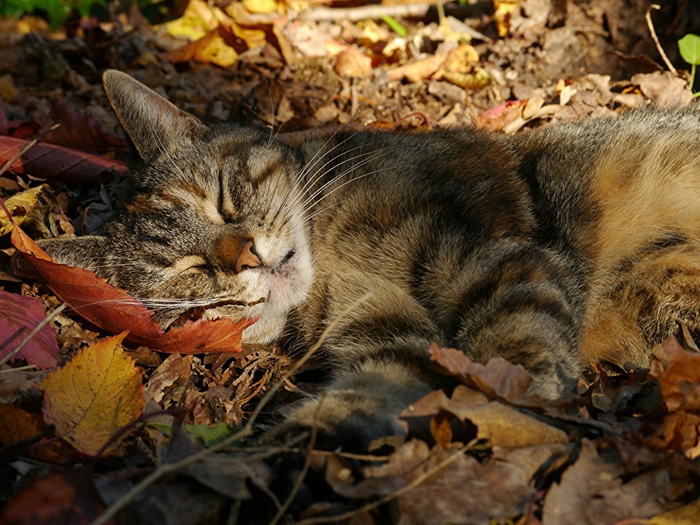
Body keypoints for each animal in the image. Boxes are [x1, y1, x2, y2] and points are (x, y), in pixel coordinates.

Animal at [39, 70, 700, 450]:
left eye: (223, 199)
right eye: (190, 273)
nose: (246, 255)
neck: (329, 251)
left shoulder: (494, 254)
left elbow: (515, 350)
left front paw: (513, 403)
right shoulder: (391, 337)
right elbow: (364, 398)